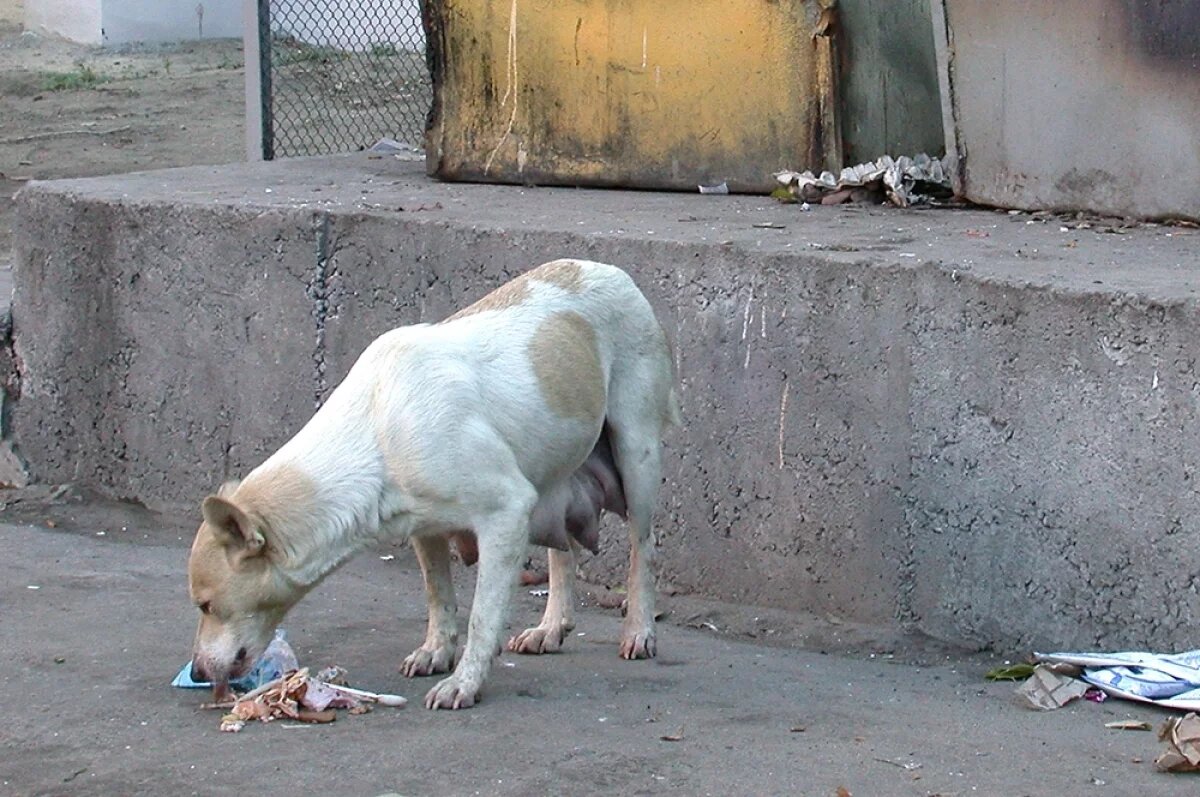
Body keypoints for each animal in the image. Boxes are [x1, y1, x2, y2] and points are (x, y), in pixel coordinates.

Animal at [184, 258, 676, 705]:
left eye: (206, 605)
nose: (198, 672)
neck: (376, 433)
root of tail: (608, 268)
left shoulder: (507, 511)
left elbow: (482, 615)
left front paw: (465, 682)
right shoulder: (425, 528)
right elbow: (439, 595)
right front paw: (436, 652)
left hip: (637, 457)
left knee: (644, 549)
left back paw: (639, 631)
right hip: (558, 470)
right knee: (563, 553)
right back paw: (551, 626)